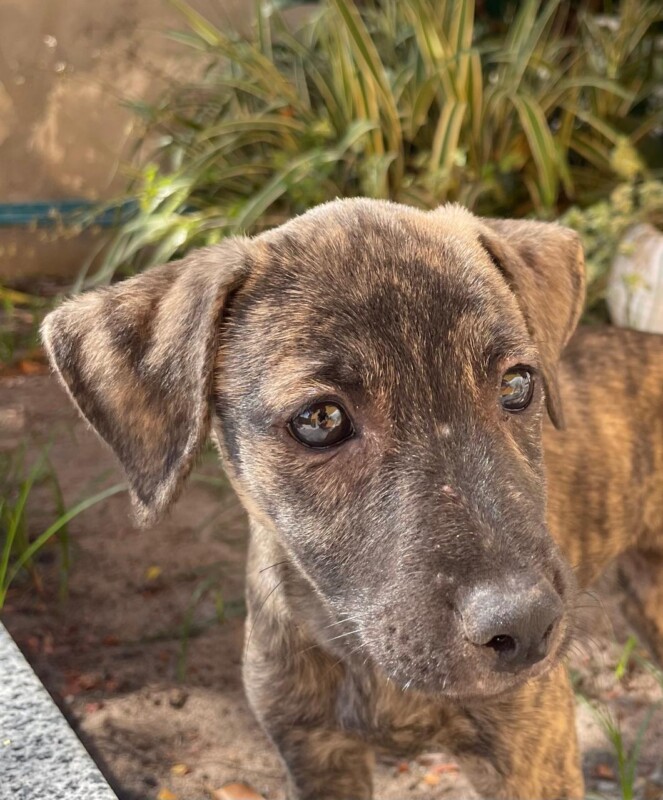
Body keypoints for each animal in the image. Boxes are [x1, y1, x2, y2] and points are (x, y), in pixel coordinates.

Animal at [41, 197, 663, 796]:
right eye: (320, 419)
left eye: (517, 384)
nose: (529, 627)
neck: (364, 656)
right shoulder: (315, 753)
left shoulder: (529, 754)